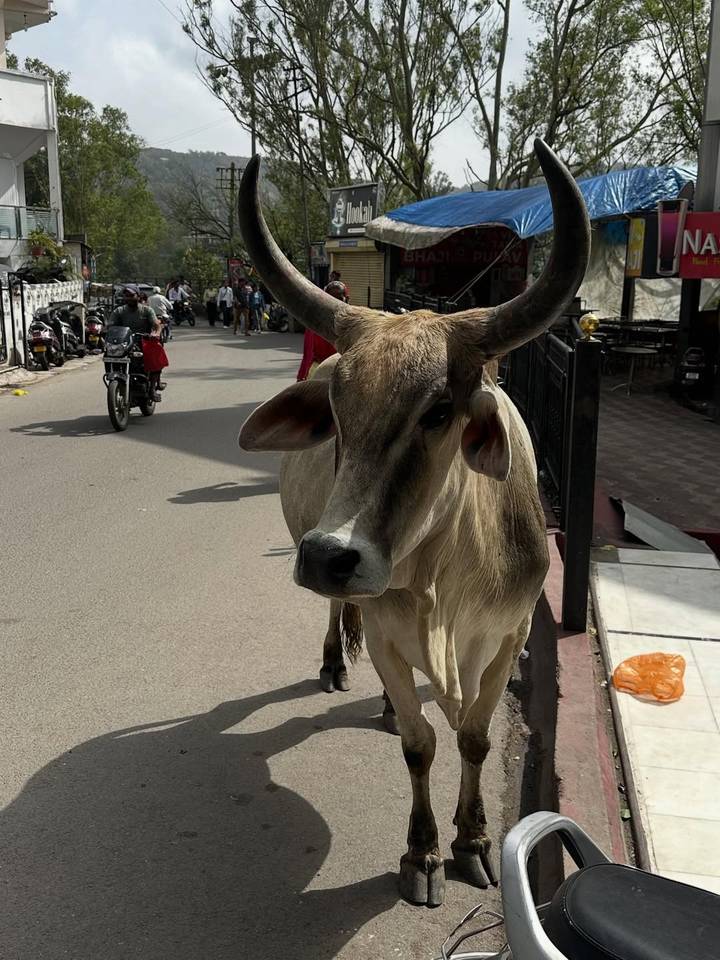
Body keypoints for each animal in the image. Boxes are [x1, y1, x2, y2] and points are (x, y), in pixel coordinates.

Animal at [238, 140, 590, 907]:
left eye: (439, 410)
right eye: (337, 406)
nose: (328, 554)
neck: (444, 580)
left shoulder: (509, 633)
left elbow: (474, 738)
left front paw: (475, 840)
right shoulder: (391, 632)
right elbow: (422, 744)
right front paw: (424, 852)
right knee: (344, 620)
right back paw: (339, 663)